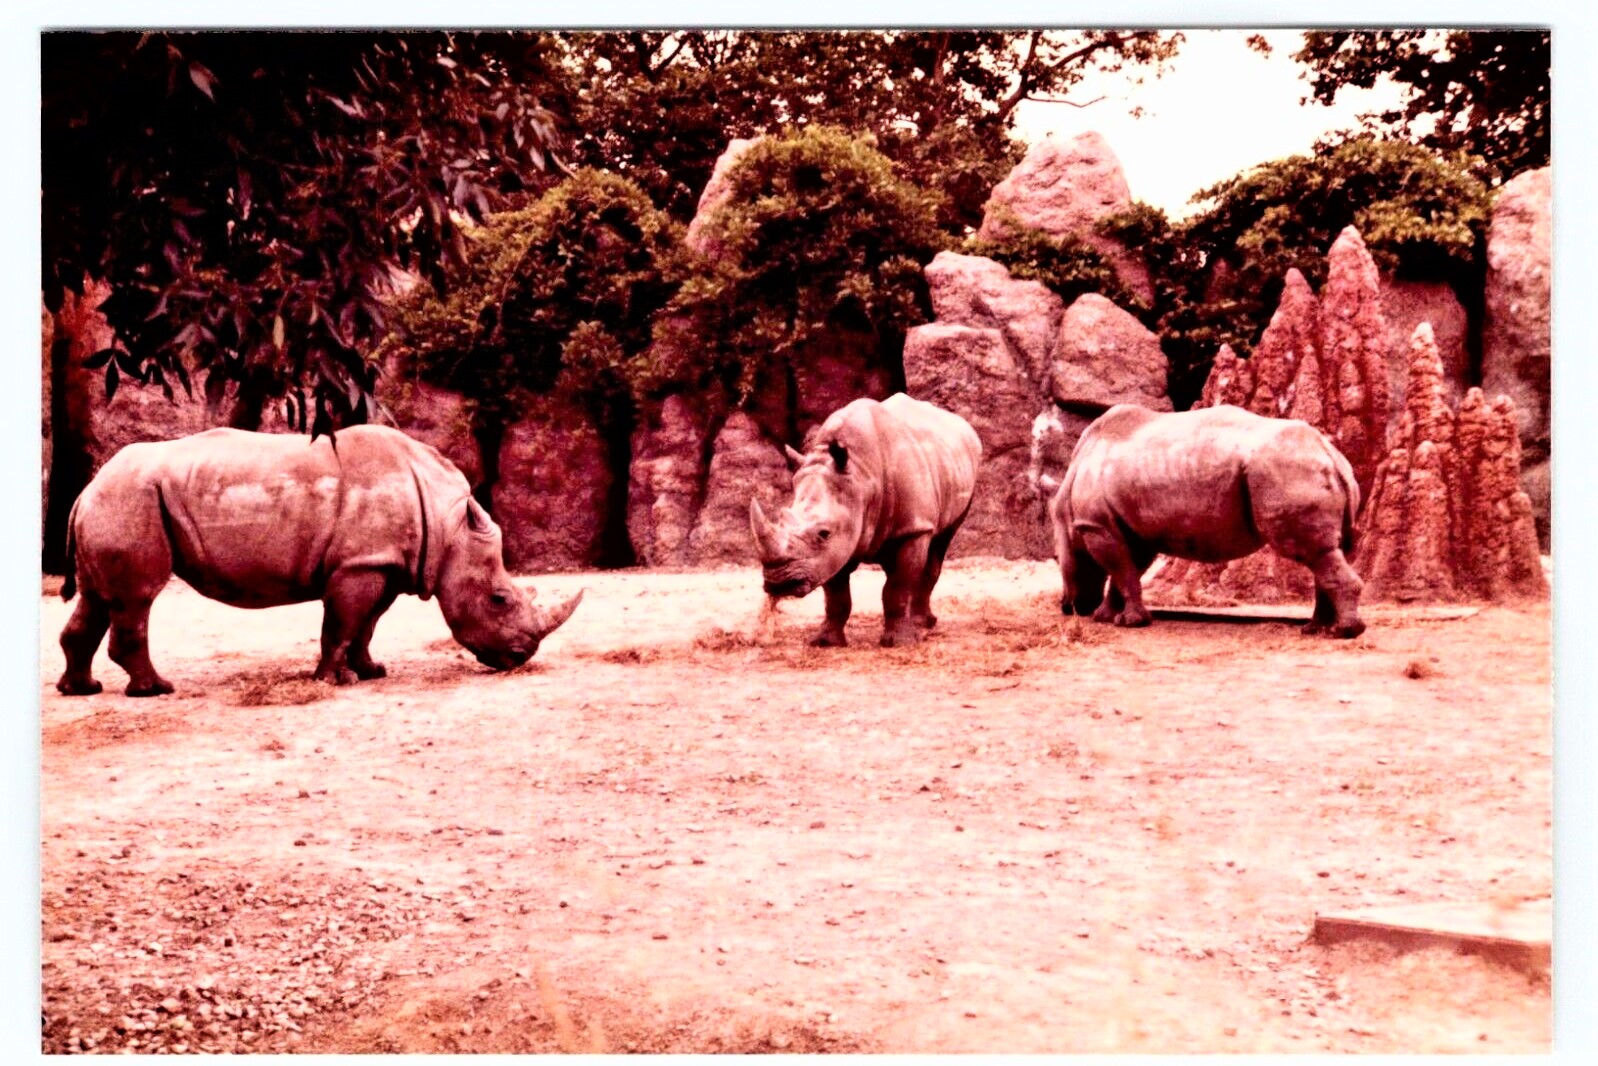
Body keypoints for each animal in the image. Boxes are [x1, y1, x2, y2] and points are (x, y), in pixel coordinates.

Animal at [56, 424, 582, 696]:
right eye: (499, 599)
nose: (521, 658)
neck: (448, 523)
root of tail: (84, 490)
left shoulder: (381, 563)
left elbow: (366, 625)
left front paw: (372, 672)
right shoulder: (358, 564)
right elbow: (342, 622)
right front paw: (334, 680)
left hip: (117, 500)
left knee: (97, 598)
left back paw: (82, 689)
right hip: (131, 498)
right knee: (137, 598)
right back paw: (157, 690)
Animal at [749, 393, 981, 647]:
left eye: (823, 533)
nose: (779, 583)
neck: (861, 479)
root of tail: (962, 424)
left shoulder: (913, 529)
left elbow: (898, 587)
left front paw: (898, 642)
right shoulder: (837, 546)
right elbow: (836, 594)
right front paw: (826, 642)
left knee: (941, 541)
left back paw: (923, 625)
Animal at [1043, 404, 1365, 637]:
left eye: (1058, 559)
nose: (1068, 607)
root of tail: (1330, 453)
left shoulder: (1096, 525)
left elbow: (1120, 570)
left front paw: (1130, 623)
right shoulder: (1133, 530)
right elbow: (1126, 573)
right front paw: (1107, 617)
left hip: (1286, 469)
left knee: (1313, 551)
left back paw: (1343, 632)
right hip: (1306, 469)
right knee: (1327, 552)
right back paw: (1316, 629)